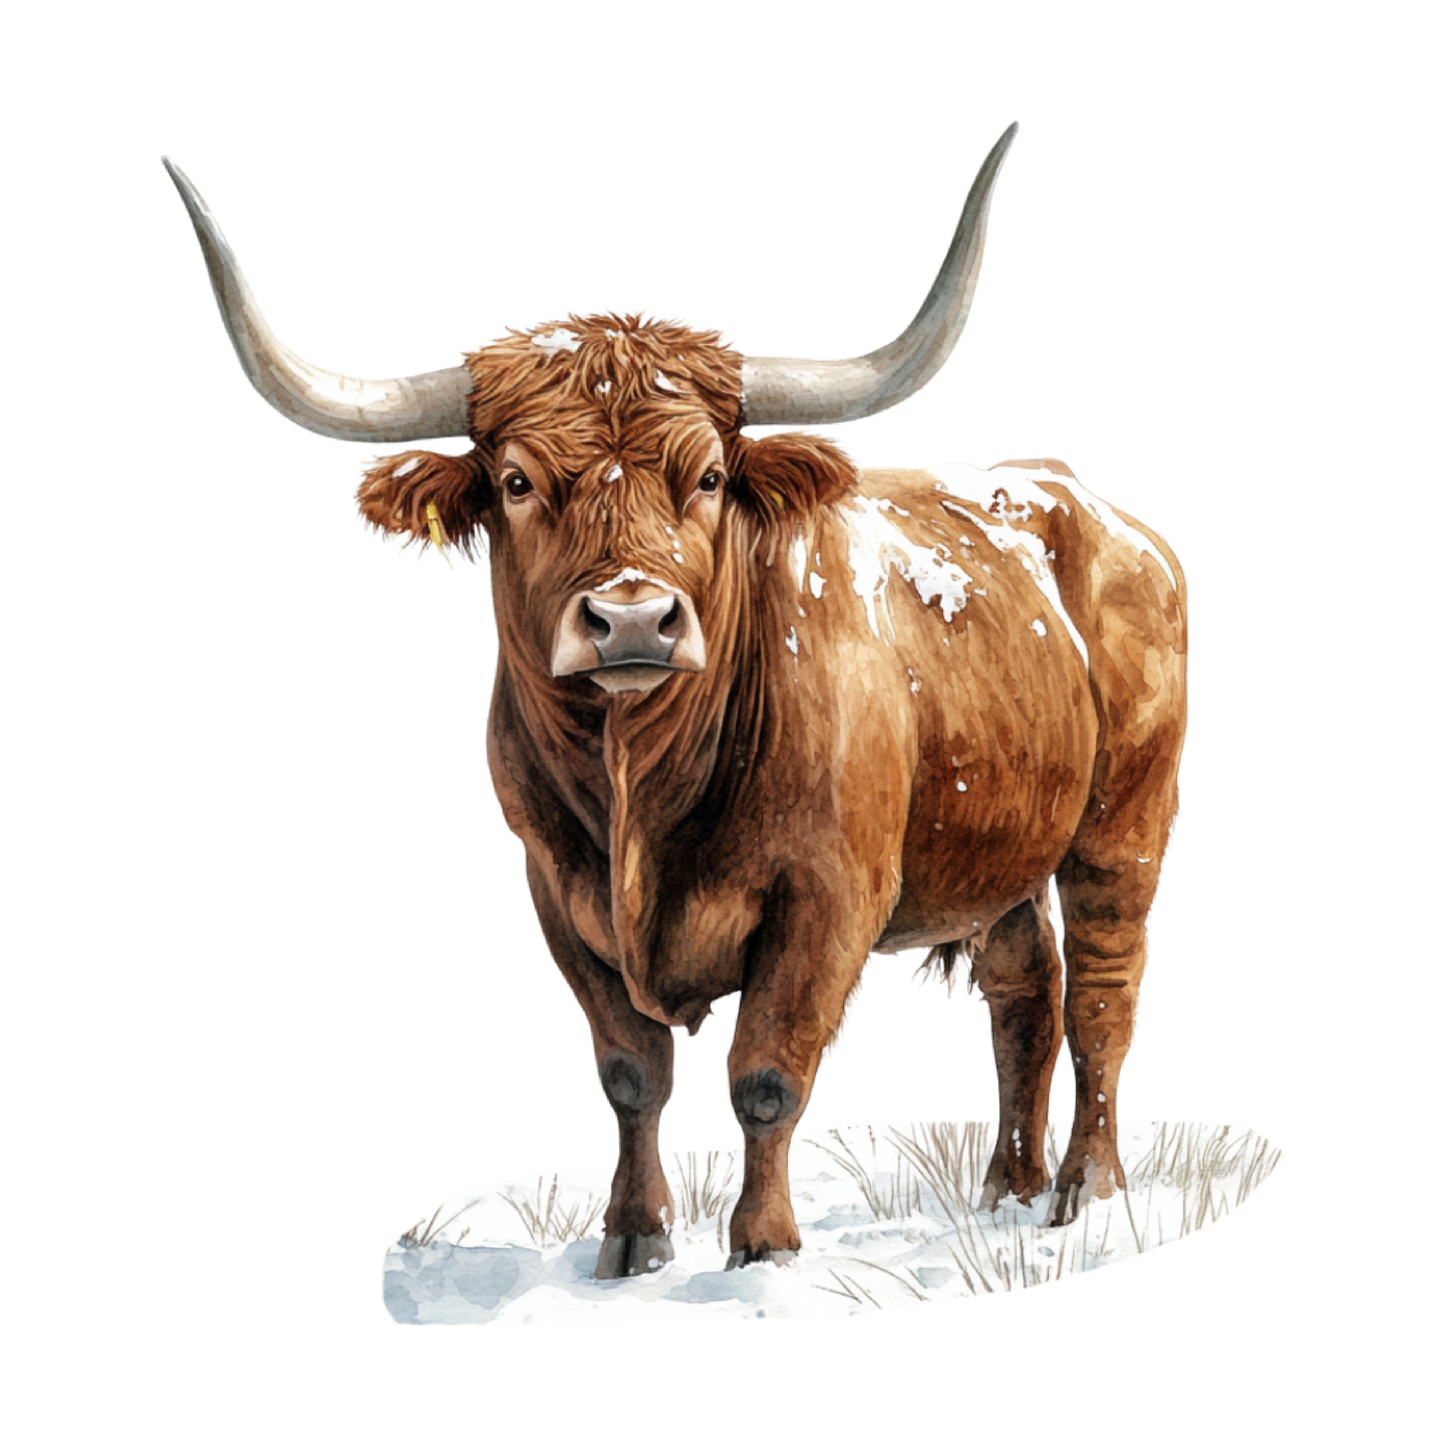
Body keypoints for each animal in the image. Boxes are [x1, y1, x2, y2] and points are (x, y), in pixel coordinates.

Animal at [160, 119, 1190, 1278]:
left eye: (704, 478)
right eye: (515, 482)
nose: (633, 620)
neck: (636, 787)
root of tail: (1082, 502)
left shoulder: (825, 901)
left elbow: (767, 1076)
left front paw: (762, 1249)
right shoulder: (557, 896)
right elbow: (632, 1075)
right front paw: (632, 1244)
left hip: (1122, 826)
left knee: (1102, 992)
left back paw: (1082, 1191)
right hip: (997, 854)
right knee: (1025, 995)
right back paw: (1004, 1191)